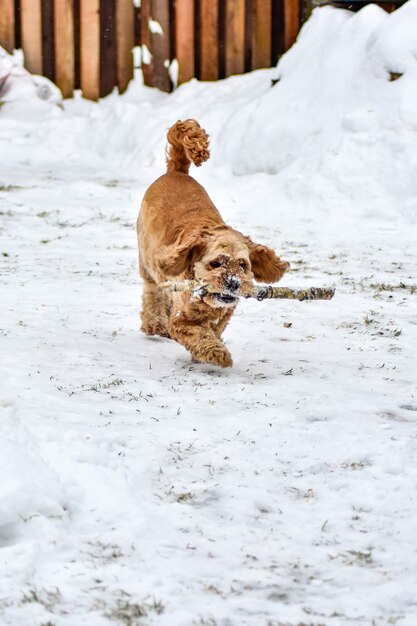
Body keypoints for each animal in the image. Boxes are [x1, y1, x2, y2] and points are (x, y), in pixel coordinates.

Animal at [138, 118, 288, 366]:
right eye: (216, 263)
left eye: (243, 265)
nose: (234, 283)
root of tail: (177, 171)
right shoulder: (182, 319)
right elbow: (198, 333)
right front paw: (217, 353)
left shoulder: (223, 314)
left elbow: (214, 327)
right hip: (146, 261)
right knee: (152, 292)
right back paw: (155, 323)